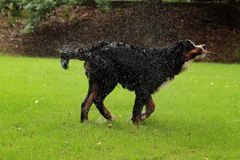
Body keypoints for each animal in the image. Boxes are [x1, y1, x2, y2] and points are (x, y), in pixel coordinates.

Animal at [59, 39, 212, 123]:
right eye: (191, 45)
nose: (204, 45)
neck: (163, 60)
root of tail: (93, 50)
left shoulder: (146, 90)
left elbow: (151, 106)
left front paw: (141, 118)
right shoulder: (142, 89)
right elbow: (140, 108)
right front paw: (137, 123)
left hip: (96, 82)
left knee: (86, 103)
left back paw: (86, 122)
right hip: (109, 81)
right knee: (97, 100)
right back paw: (109, 117)